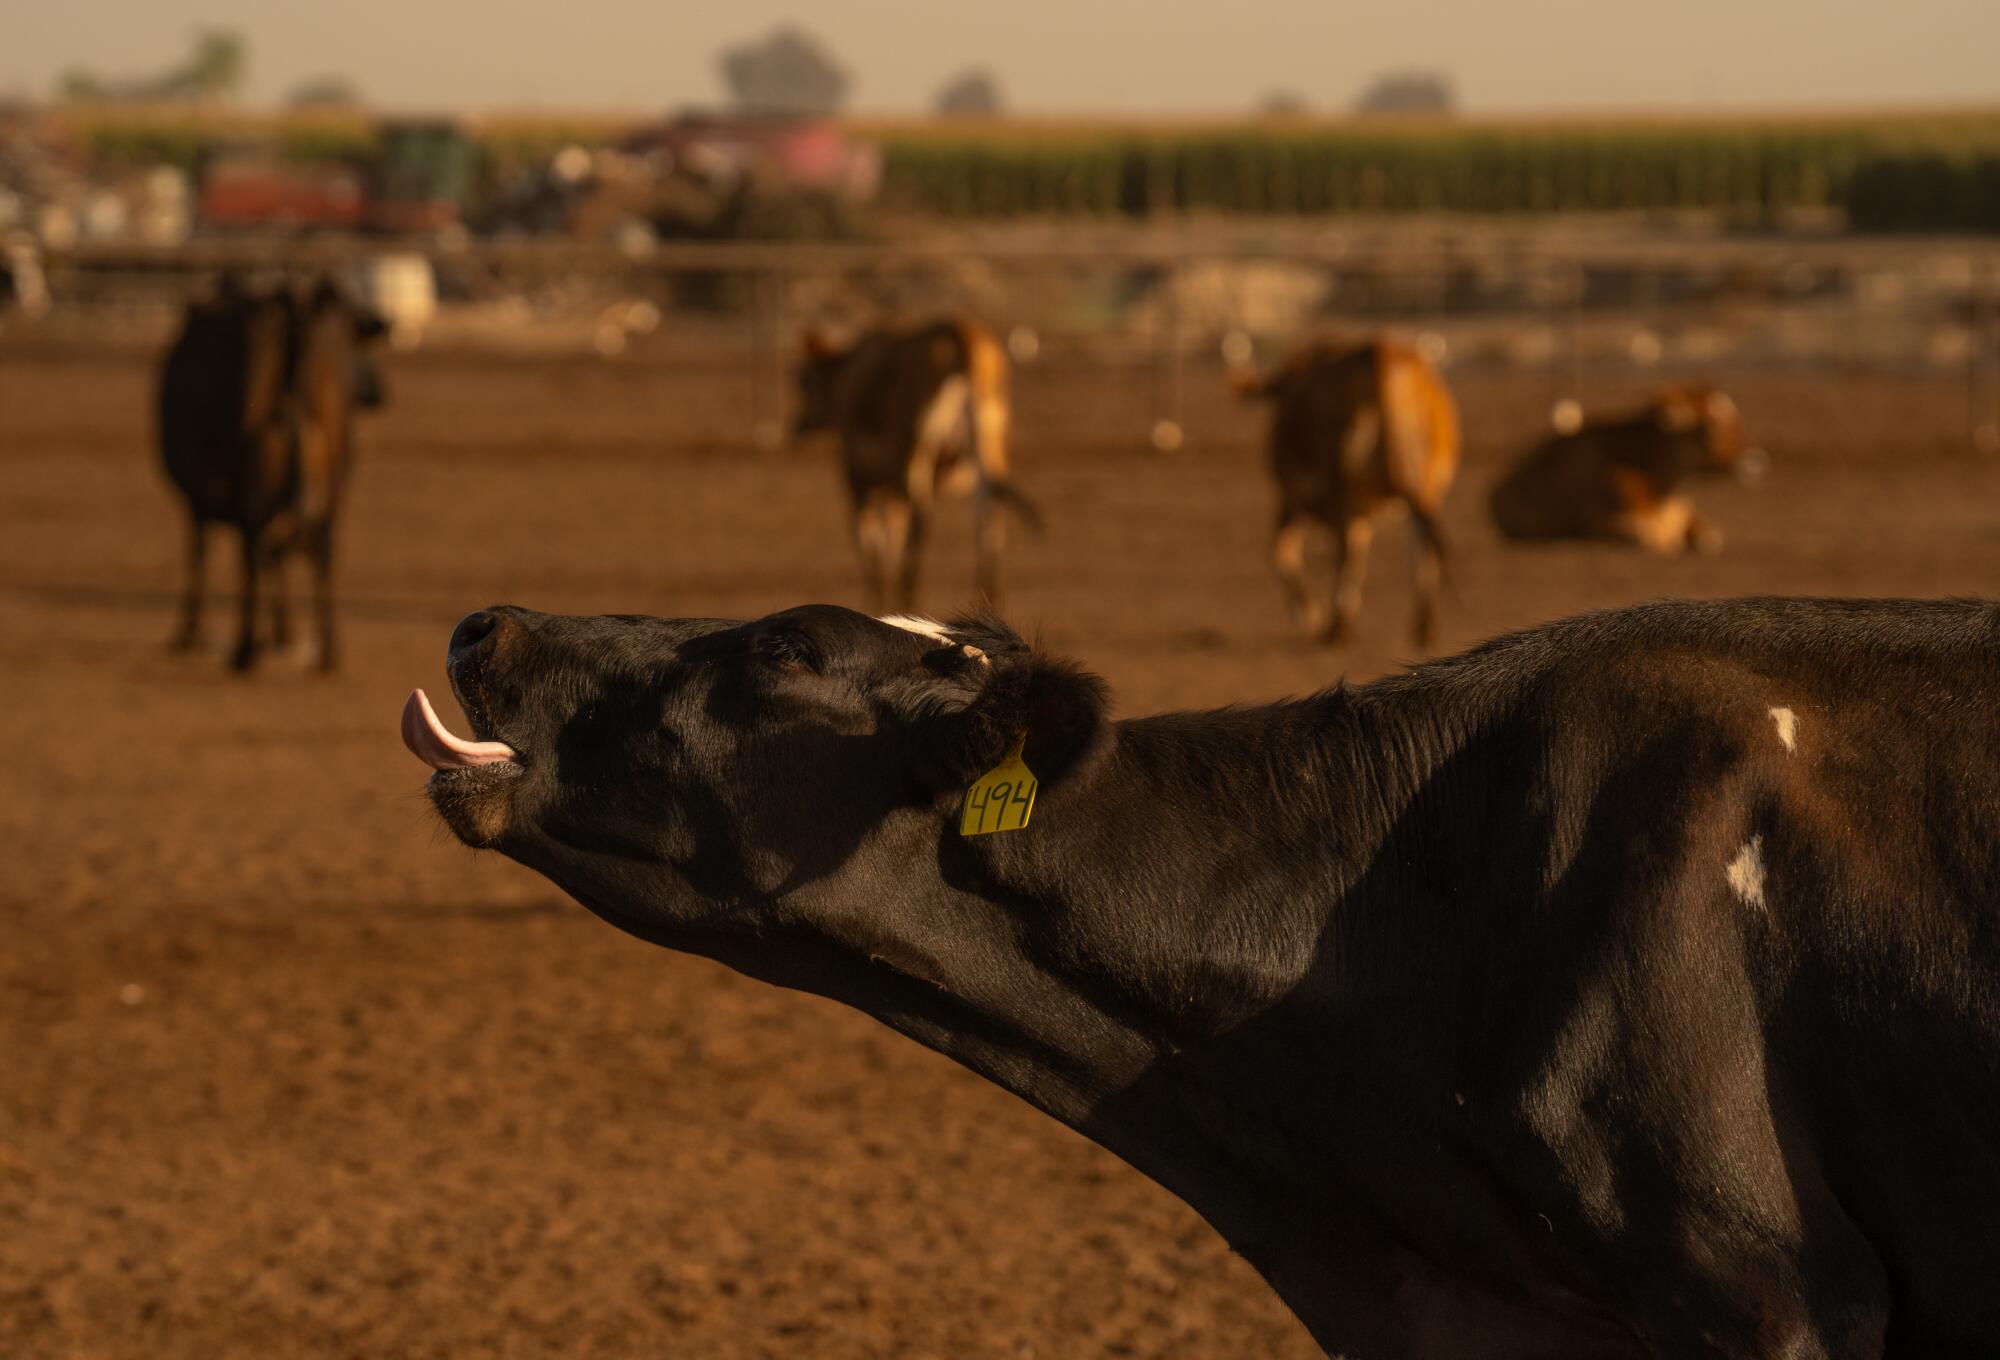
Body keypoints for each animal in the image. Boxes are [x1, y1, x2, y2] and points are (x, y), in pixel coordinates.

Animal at [160, 278, 386, 676]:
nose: (380, 391)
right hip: (327, 493)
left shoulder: (200, 503)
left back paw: (245, 650)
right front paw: (283, 634)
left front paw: (192, 633)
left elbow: (203, 555)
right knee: (319, 556)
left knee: (253, 559)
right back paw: (327, 651)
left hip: (251, 496)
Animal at [788, 316, 1040, 612]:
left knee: (923, 516)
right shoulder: (891, 489)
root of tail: (957, 328)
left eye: (802, 381)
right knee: (988, 509)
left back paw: (909, 593)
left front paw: (876, 601)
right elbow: (893, 535)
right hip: (988, 444)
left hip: (917, 451)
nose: (796, 429)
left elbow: (871, 544)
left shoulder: (857, 478)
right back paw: (987, 596)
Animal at [1224, 334, 1464, 644]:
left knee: (1346, 550)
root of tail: (1380, 352)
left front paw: (1309, 612)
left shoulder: (1293, 497)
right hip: (1425, 487)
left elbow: (1281, 552)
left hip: (1340, 486)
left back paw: (1338, 627)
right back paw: (1424, 626)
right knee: (1422, 547)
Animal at [1488, 382, 1768, 552]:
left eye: (1738, 419)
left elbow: (1710, 538)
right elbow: (1646, 537)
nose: (1753, 461)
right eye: (1709, 427)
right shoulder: (1608, 523)